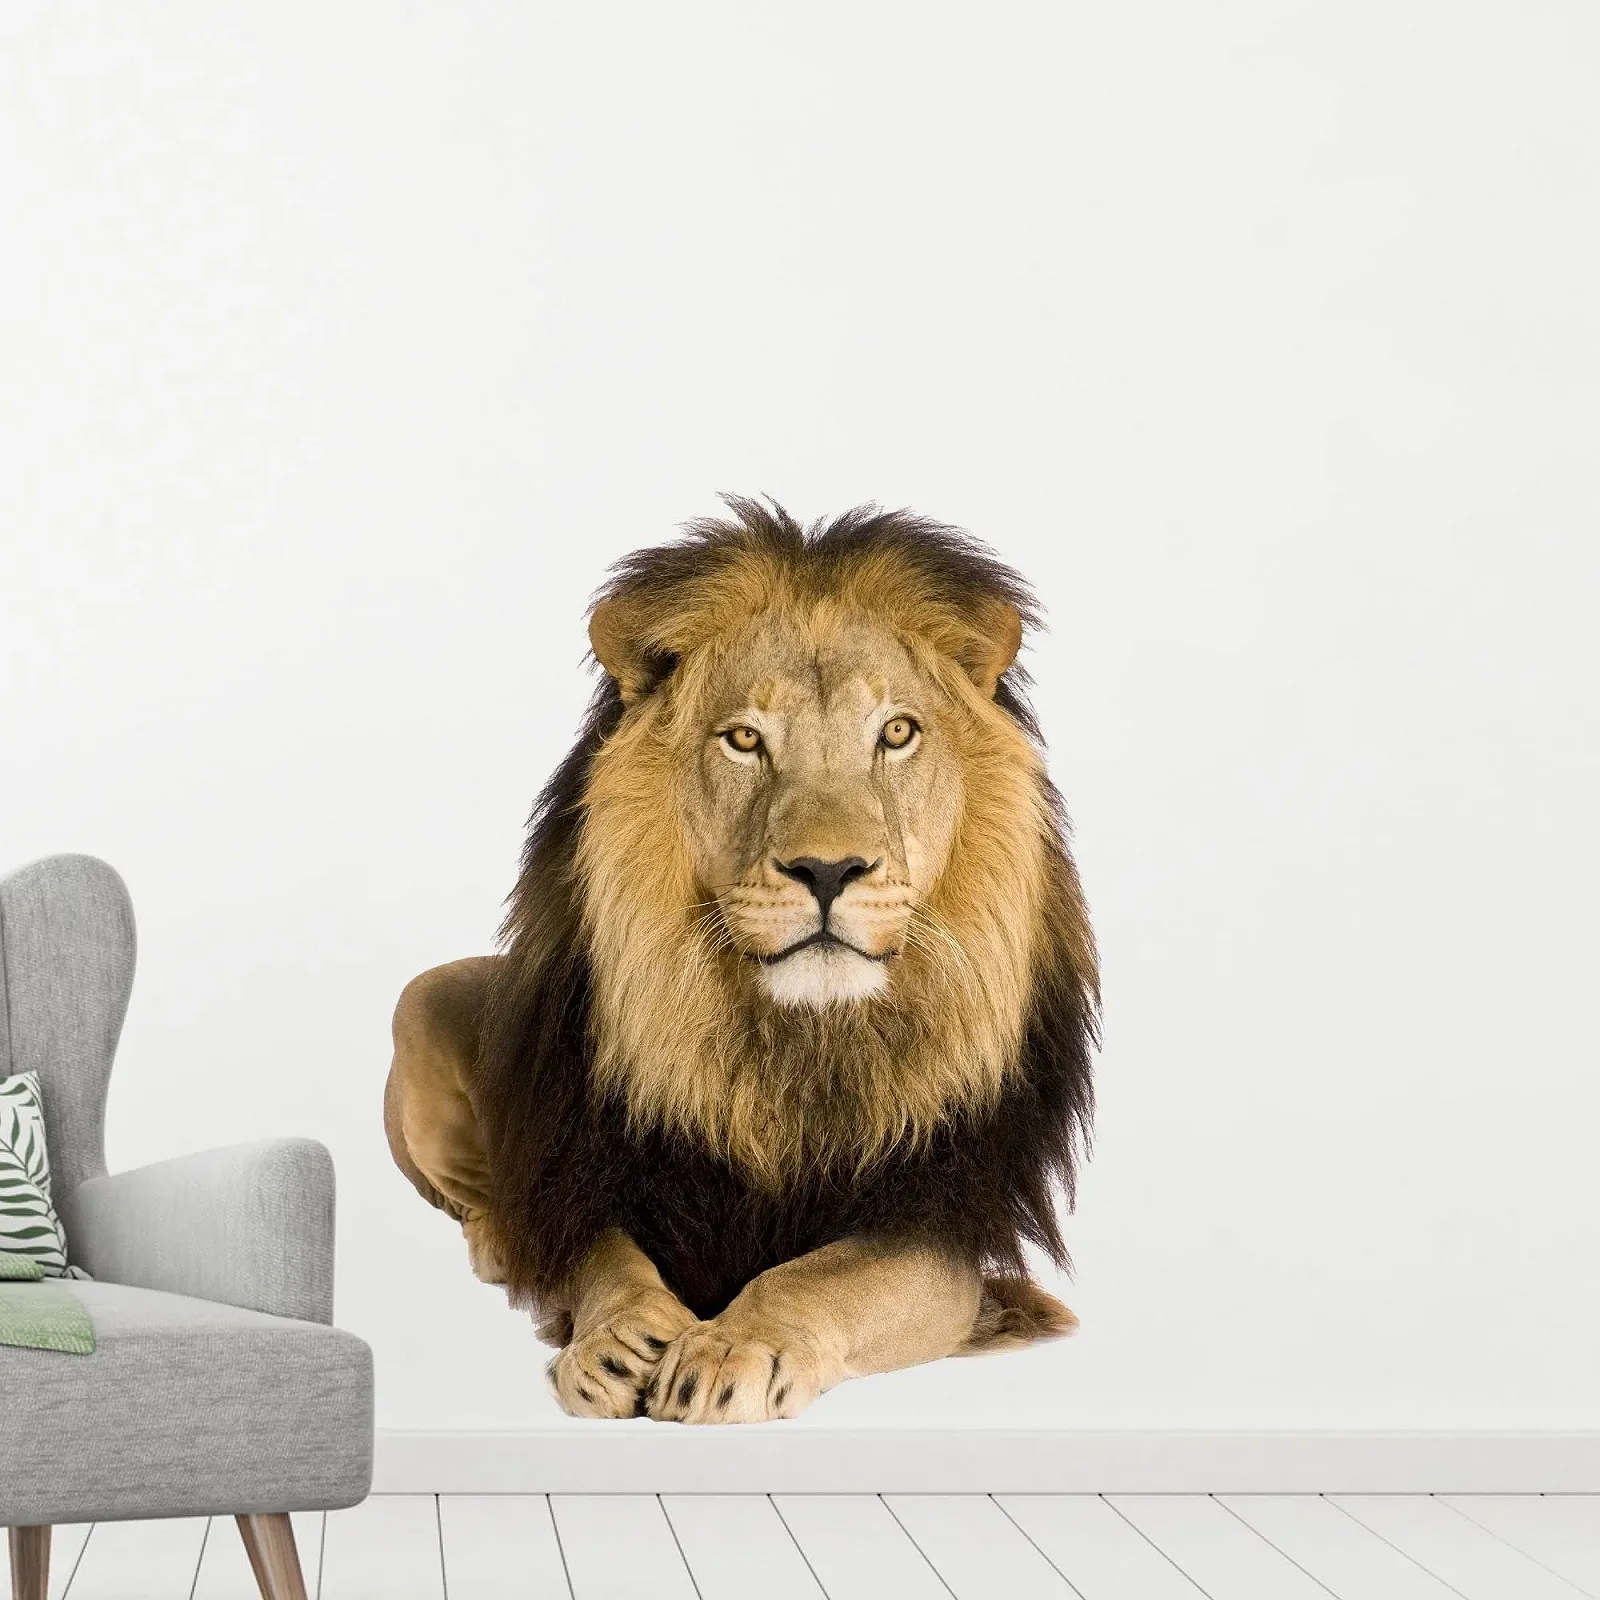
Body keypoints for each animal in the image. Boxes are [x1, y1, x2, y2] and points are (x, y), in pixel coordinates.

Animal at [384, 497, 1098, 1423]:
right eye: (745, 740)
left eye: (897, 733)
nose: (828, 870)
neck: (793, 1040)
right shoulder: (589, 1172)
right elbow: (604, 1260)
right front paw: (617, 1338)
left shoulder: (936, 1227)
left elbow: (819, 1278)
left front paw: (729, 1348)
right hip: (423, 997)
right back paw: (505, 1242)